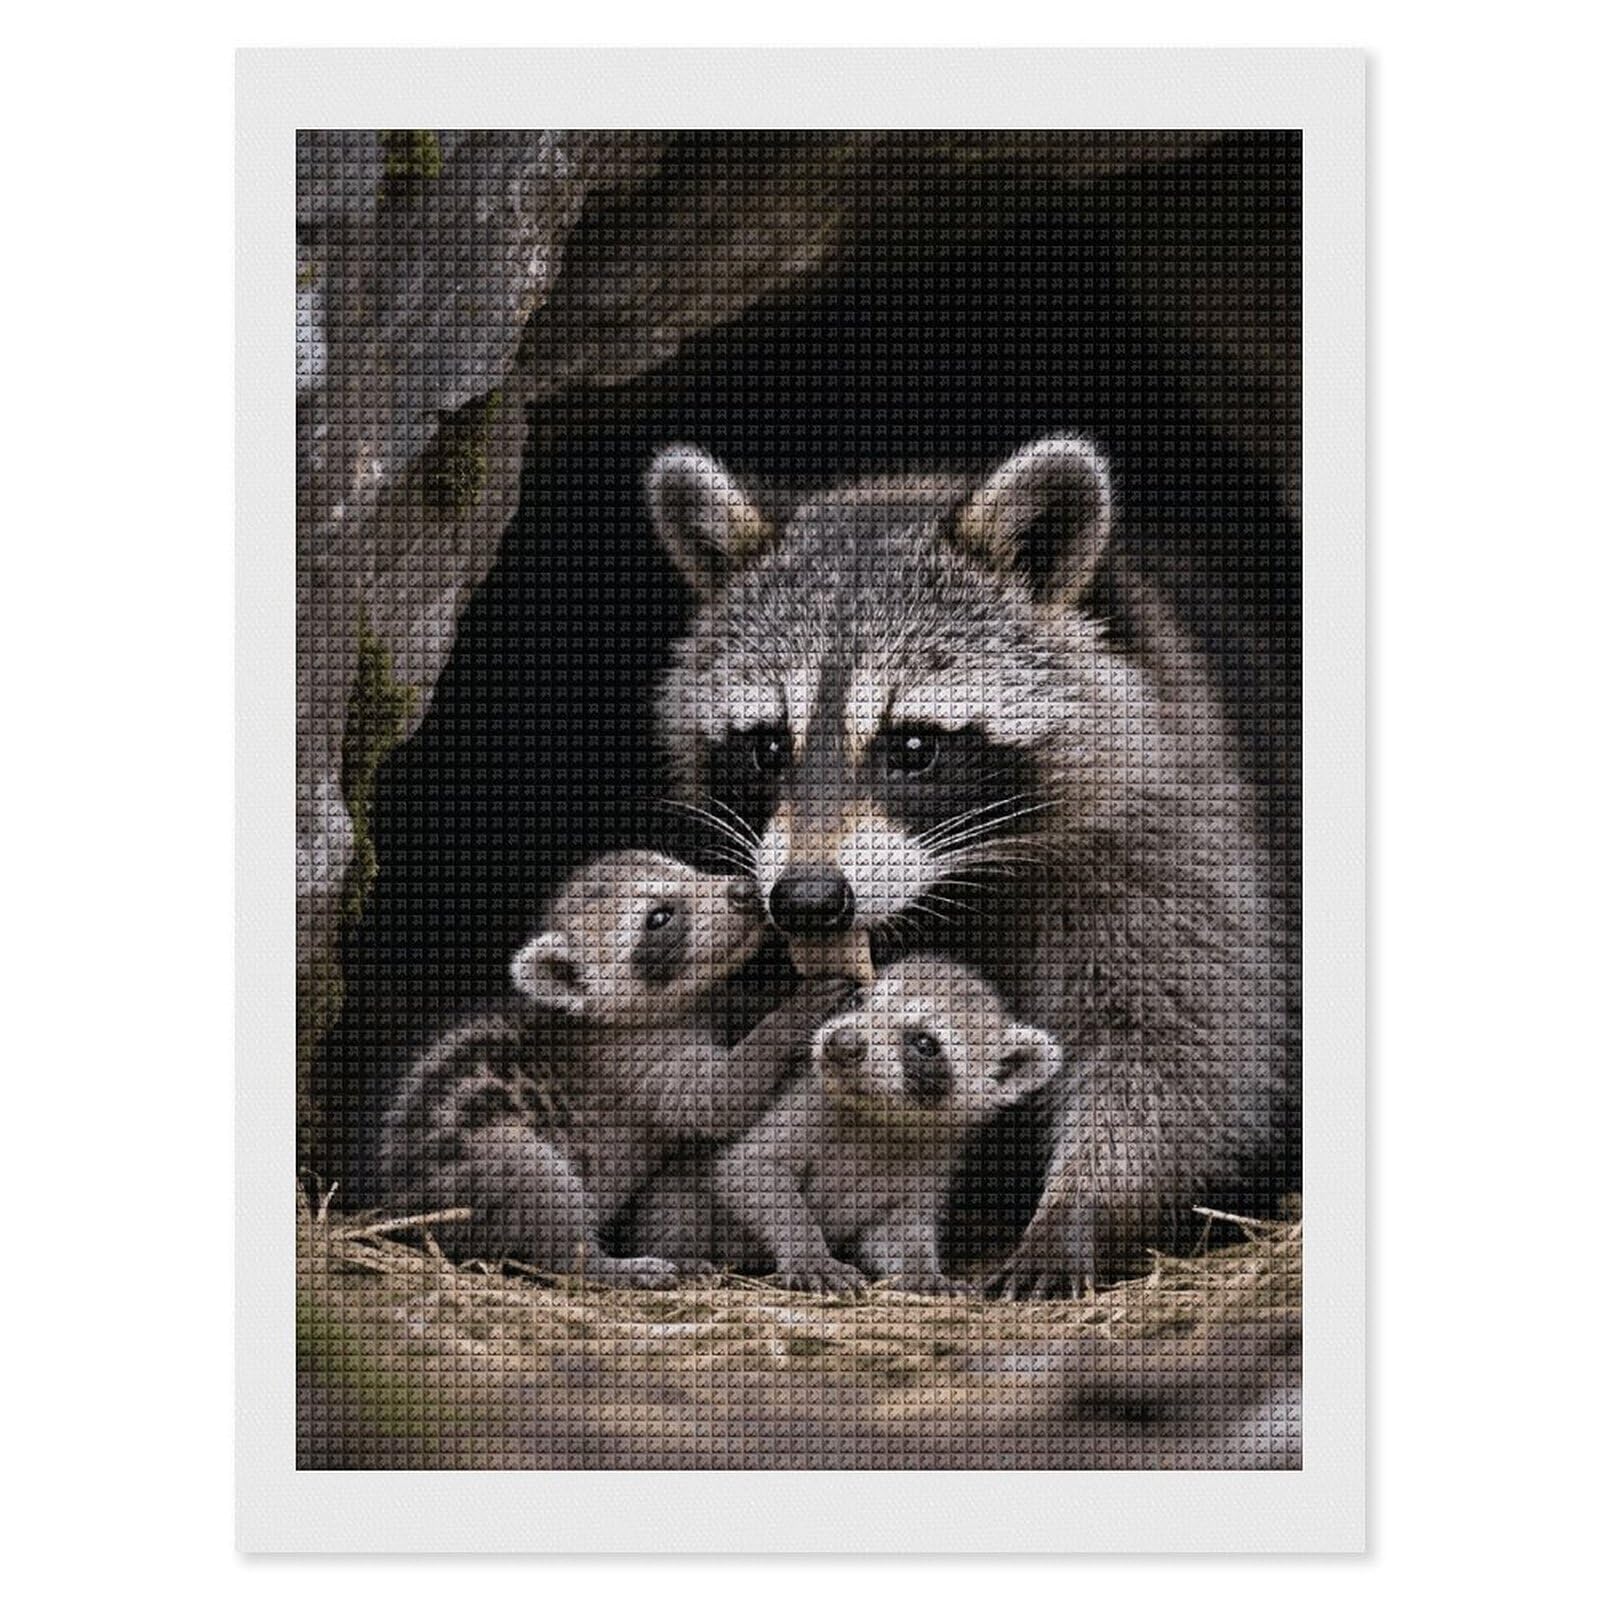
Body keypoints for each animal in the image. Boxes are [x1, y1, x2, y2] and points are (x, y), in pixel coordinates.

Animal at [379, 849, 836, 1287]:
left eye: (689, 868)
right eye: (659, 917)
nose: (744, 890)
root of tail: (399, 1209)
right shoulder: (634, 1065)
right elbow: (715, 1097)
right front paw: (793, 1013)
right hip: (475, 1165)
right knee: (538, 1184)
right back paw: (601, 1264)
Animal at [648, 436, 1285, 1295]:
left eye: (914, 745)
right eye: (768, 747)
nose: (809, 899)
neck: (958, 883)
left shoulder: (1173, 830)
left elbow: (1182, 1044)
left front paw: (1080, 1206)